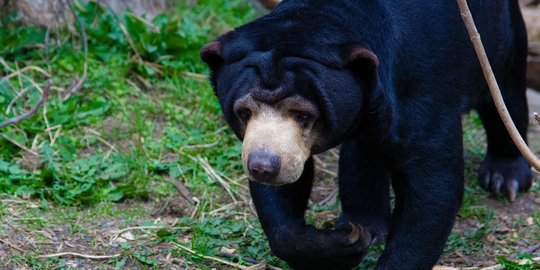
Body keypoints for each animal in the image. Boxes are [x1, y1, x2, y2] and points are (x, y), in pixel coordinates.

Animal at [199, 1, 532, 268]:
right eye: (244, 111)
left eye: (303, 114)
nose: (263, 166)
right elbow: (283, 200)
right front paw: (346, 242)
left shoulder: (419, 94)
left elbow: (433, 185)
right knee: (363, 151)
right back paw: (364, 223)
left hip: (497, 38)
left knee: (505, 94)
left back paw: (505, 177)